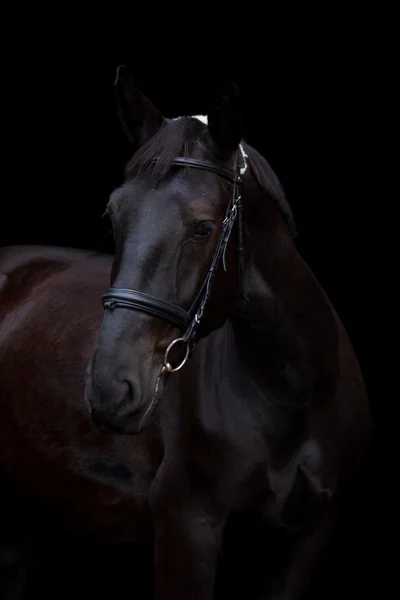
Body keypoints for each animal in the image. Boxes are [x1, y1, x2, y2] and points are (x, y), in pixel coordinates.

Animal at [0, 65, 372, 600]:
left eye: (202, 227)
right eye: (113, 212)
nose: (111, 388)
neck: (290, 394)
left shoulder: (307, 538)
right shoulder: (186, 530)